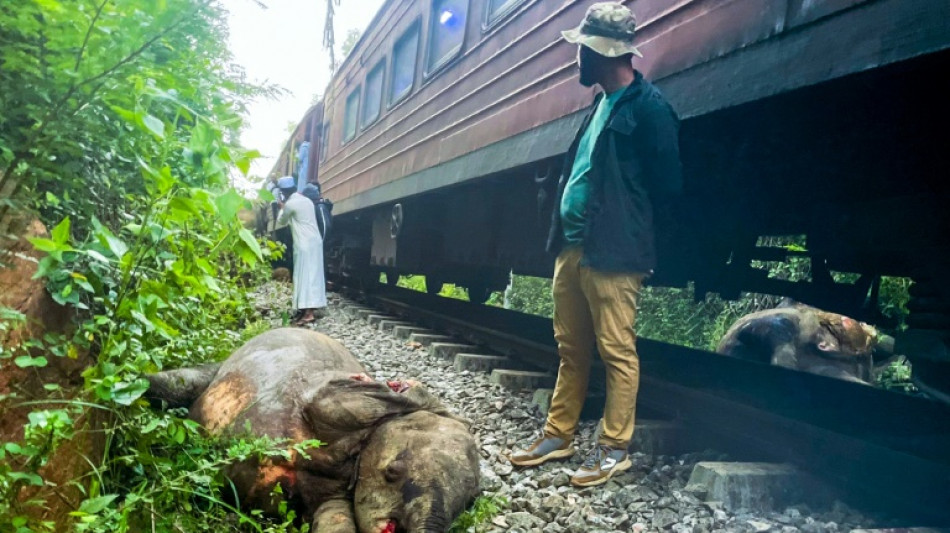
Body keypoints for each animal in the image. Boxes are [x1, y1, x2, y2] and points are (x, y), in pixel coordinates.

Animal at [145, 328, 480, 532]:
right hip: (218, 369)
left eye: (470, 504)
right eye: (392, 472)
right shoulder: (331, 395)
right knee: (176, 384)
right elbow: (331, 402)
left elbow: (335, 520)